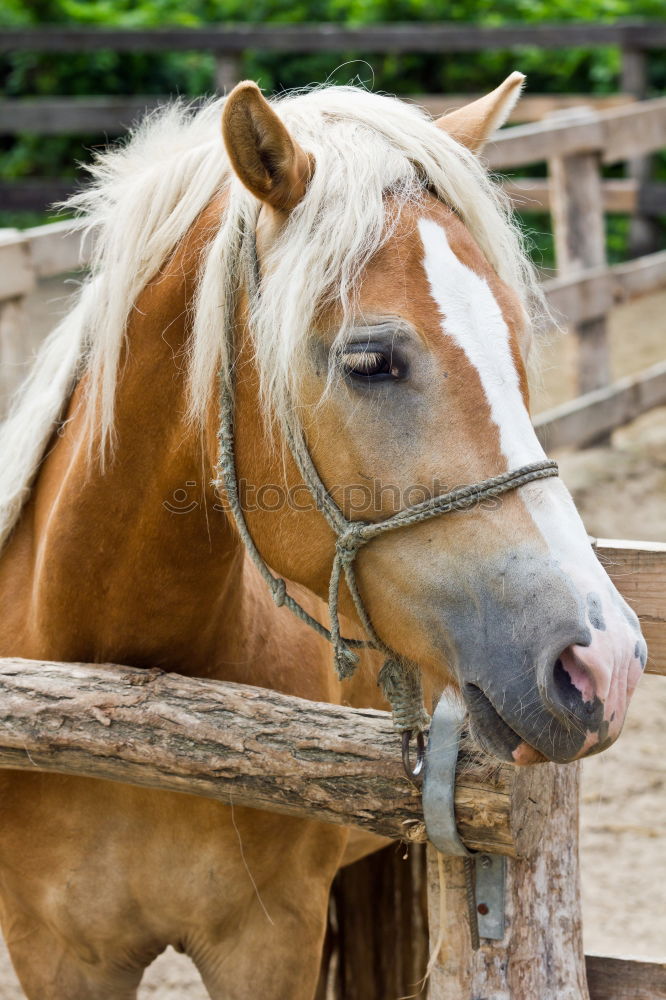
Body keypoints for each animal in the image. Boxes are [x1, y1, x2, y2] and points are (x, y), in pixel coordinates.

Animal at [0, 78, 644, 1000]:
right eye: (370, 361)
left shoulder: (269, 944)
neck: (120, 695)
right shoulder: (58, 955)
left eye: (517, 342)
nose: (605, 661)